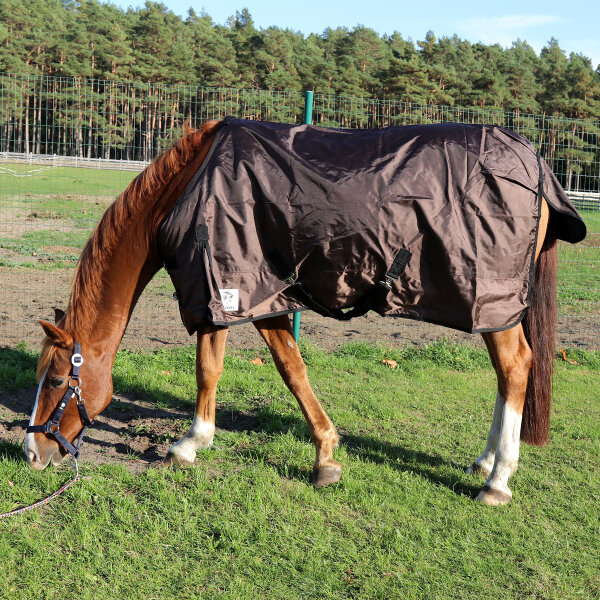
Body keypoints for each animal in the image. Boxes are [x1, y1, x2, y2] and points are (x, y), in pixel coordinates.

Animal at [23, 115, 584, 504]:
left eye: (57, 380)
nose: (30, 453)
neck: (189, 190)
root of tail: (533, 160)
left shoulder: (243, 292)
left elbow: (274, 369)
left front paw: (316, 455)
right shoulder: (229, 293)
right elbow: (222, 368)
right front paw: (203, 441)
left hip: (492, 305)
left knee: (516, 367)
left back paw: (498, 480)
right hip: (493, 310)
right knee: (505, 375)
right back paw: (484, 461)